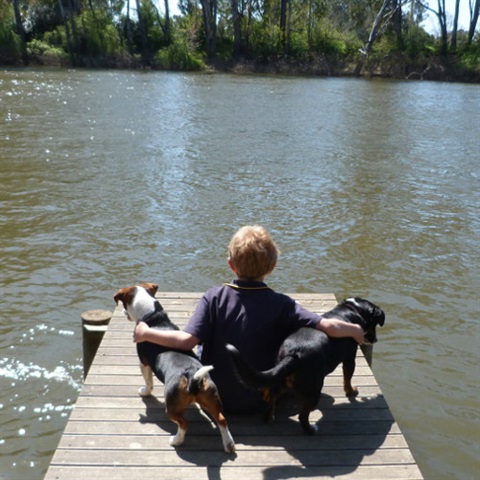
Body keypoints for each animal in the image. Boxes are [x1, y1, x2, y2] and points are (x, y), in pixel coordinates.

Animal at [111, 284, 233, 452]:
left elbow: (148, 382)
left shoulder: (143, 363)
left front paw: (145, 391)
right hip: (211, 396)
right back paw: (229, 444)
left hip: (171, 408)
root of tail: (192, 376)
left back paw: (176, 441)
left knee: (184, 424)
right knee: (222, 419)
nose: (123, 312)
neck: (153, 317)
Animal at [226, 296, 386, 436]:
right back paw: (311, 430)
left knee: (271, 401)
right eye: (375, 325)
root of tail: (293, 355)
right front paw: (351, 392)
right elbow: (348, 378)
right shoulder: (349, 358)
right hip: (314, 389)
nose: (375, 340)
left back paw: (270, 418)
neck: (353, 309)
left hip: (277, 383)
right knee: (303, 417)